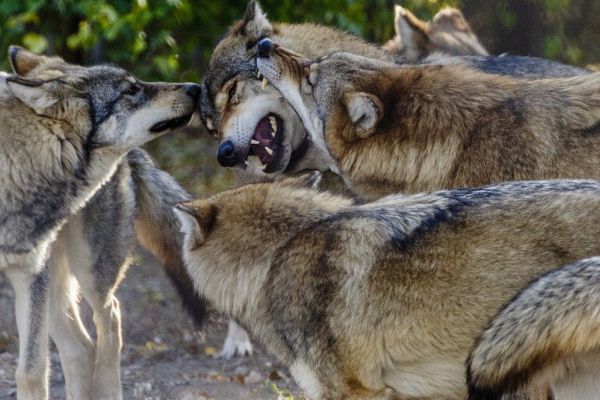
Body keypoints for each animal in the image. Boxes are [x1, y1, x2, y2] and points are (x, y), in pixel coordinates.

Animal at [0, 47, 200, 400]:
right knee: (81, 348)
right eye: (131, 90)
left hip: (87, 273)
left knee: (108, 322)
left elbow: (31, 372)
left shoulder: (28, 275)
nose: (196, 88)